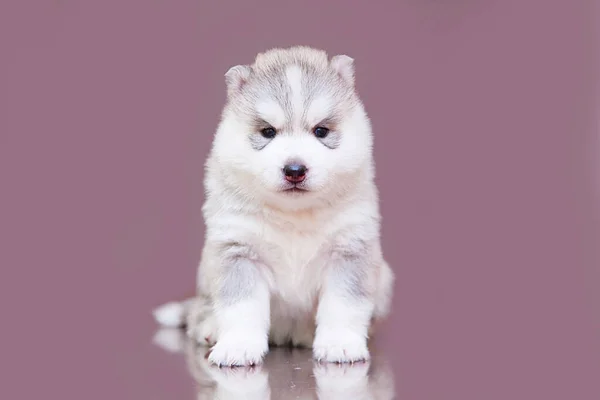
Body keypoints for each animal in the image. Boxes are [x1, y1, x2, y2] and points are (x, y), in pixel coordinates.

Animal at [155, 45, 394, 368]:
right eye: (268, 132)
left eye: (321, 131)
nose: (295, 170)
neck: (294, 215)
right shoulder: (239, 251)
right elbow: (240, 307)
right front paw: (238, 346)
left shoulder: (349, 251)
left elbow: (344, 305)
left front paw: (340, 344)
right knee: (198, 311)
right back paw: (211, 327)